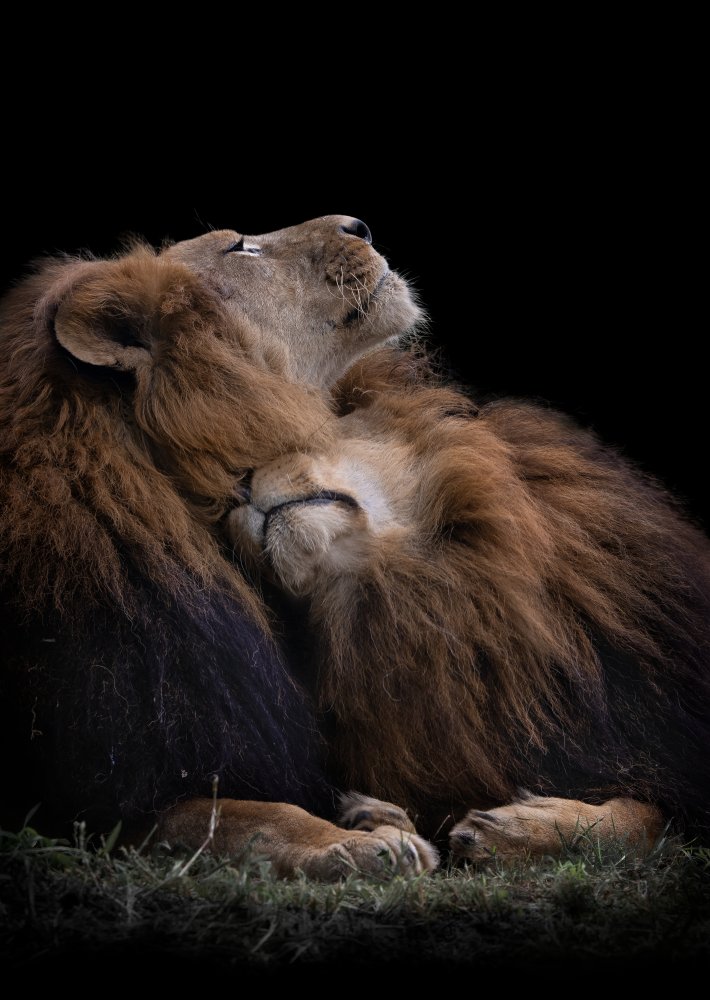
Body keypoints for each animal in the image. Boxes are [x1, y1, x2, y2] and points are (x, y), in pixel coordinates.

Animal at [0, 216, 437, 878]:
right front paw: (352, 843)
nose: (358, 225)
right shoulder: (101, 806)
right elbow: (243, 816)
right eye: (238, 247)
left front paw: (371, 814)